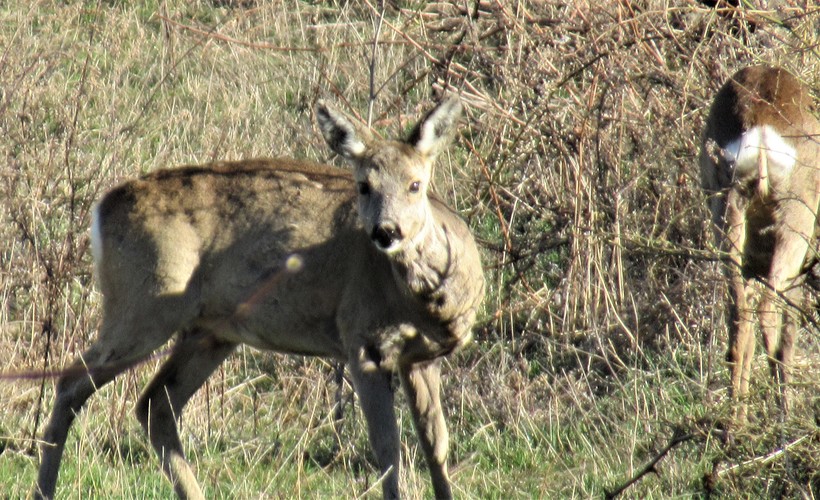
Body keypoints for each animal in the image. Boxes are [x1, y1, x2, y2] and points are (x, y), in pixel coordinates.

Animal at [36, 95, 486, 498]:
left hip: (210, 330)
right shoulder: (362, 339)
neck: (426, 304)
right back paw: (44, 490)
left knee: (155, 404)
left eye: (415, 184)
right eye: (363, 186)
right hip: (142, 304)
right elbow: (388, 448)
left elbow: (436, 447)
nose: (386, 232)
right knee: (71, 382)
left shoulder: (422, 358)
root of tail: (102, 208)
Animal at [700, 65, 820, 422]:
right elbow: (791, 328)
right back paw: (784, 415)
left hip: (727, 213)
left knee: (740, 319)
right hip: (795, 222)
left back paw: (735, 422)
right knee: (769, 311)